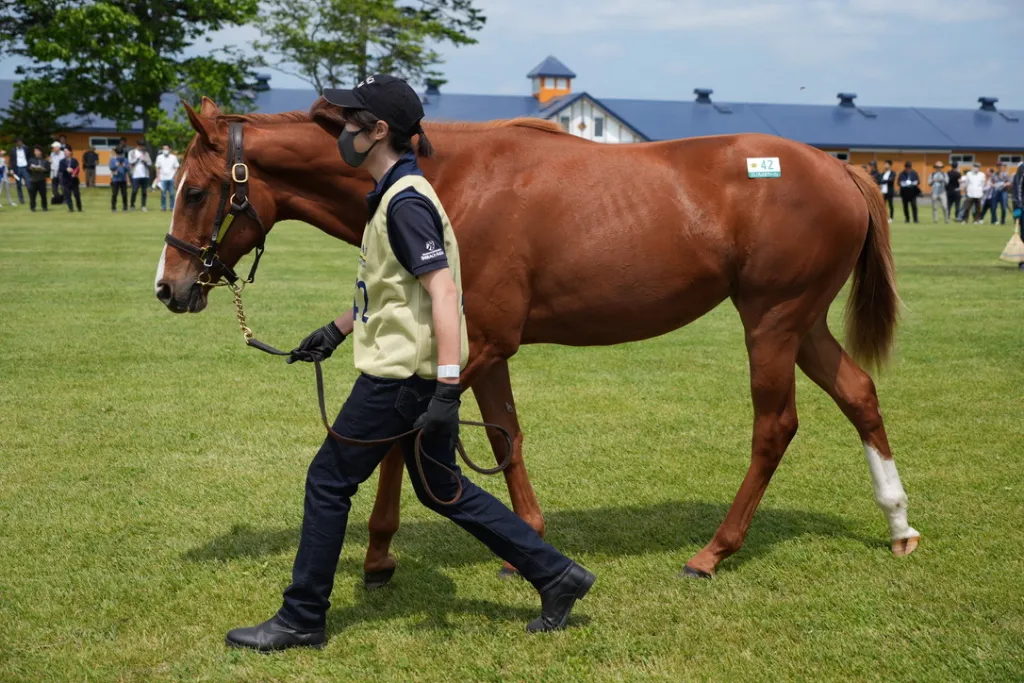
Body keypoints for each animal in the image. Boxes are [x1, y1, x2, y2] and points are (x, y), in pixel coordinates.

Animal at [155, 96, 919, 586]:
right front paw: (522, 541)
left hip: (771, 321)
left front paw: (379, 553)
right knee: (859, 393)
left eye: (194, 191)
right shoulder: (480, 352)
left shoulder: (476, 346)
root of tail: (840, 167)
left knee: (775, 425)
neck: (444, 181)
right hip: (803, 323)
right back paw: (898, 524)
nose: (169, 287)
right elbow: (504, 437)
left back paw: (714, 551)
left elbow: (406, 441)